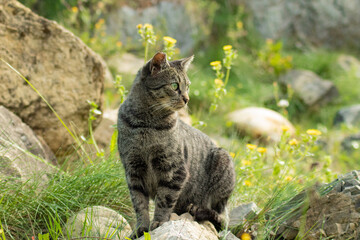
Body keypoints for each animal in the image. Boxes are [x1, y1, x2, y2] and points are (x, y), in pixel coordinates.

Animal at [117, 52, 236, 238]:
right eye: (174, 85)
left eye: (188, 86)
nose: (187, 99)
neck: (146, 125)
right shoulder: (133, 170)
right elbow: (139, 203)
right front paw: (141, 228)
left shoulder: (174, 170)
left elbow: (165, 200)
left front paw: (159, 222)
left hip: (223, 164)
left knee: (222, 218)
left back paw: (197, 209)